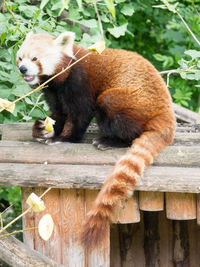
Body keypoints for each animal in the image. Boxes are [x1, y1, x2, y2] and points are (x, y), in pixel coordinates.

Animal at [17, 32, 177, 250]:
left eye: (35, 59)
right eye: (20, 58)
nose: (23, 69)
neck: (63, 74)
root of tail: (166, 113)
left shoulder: (79, 83)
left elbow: (80, 114)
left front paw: (65, 138)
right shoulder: (53, 92)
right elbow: (58, 114)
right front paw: (42, 128)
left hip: (130, 101)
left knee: (112, 107)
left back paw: (110, 141)